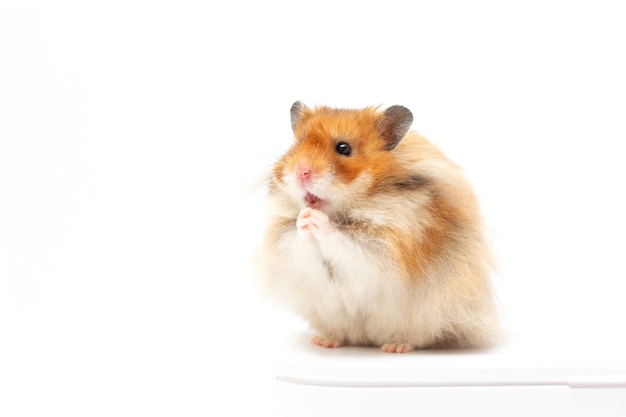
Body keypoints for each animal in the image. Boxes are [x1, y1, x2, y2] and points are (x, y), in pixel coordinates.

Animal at [252, 101, 498, 352]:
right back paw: (324, 341)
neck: (342, 210)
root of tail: (371, 339)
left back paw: (395, 347)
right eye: (298, 144)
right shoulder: (288, 253)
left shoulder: (383, 248)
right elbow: (298, 241)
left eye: (343, 148)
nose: (301, 171)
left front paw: (315, 219)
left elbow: (344, 241)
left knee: (416, 337)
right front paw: (303, 218)